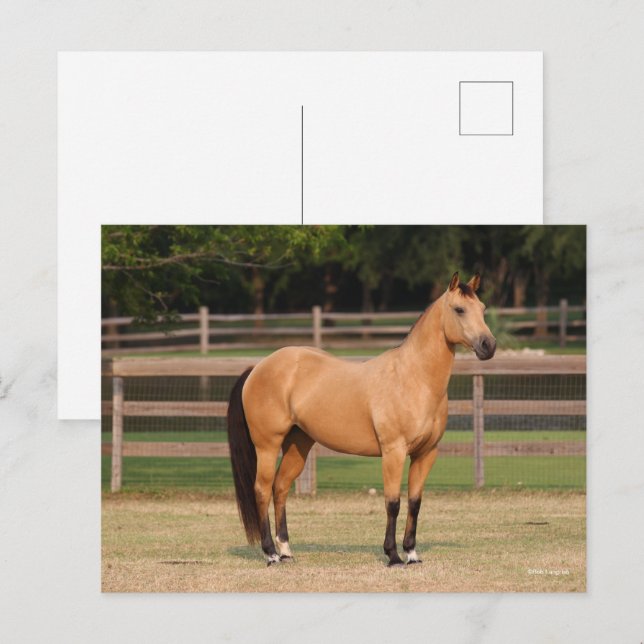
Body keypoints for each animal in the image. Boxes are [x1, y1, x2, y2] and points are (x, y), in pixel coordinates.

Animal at [226, 272, 496, 566]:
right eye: (459, 309)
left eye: (482, 308)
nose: (488, 345)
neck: (413, 378)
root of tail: (258, 367)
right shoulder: (393, 452)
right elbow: (393, 503)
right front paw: (393, 556)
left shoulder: (426, 454)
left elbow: (415, 502)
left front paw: (412, 553)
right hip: (267, 446)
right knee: (262, 490)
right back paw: (271, 554)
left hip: (298, 445)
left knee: (280, 488)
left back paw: (286, 550)